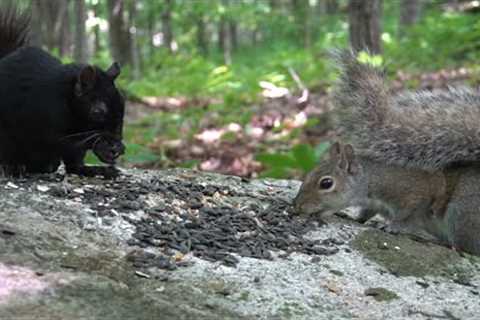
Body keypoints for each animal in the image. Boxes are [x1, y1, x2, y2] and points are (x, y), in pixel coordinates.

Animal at [0, 3, 125, 178]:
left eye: (122, 103)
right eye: (97, 111)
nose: (116, 140)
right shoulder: (46, 115)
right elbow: (65, 141)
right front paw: (103, 146)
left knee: (73, 167)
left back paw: (94, 169)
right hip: (6, 139)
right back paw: (13, 167)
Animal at [292, 50, 480, 255]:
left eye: (326, 183)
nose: (297, 206)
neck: (372, 178)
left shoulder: (414, 193)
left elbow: (411, 214)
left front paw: (393, 226)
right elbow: (366, 213)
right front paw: (357, 218)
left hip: (462, 213)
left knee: (467, 247)